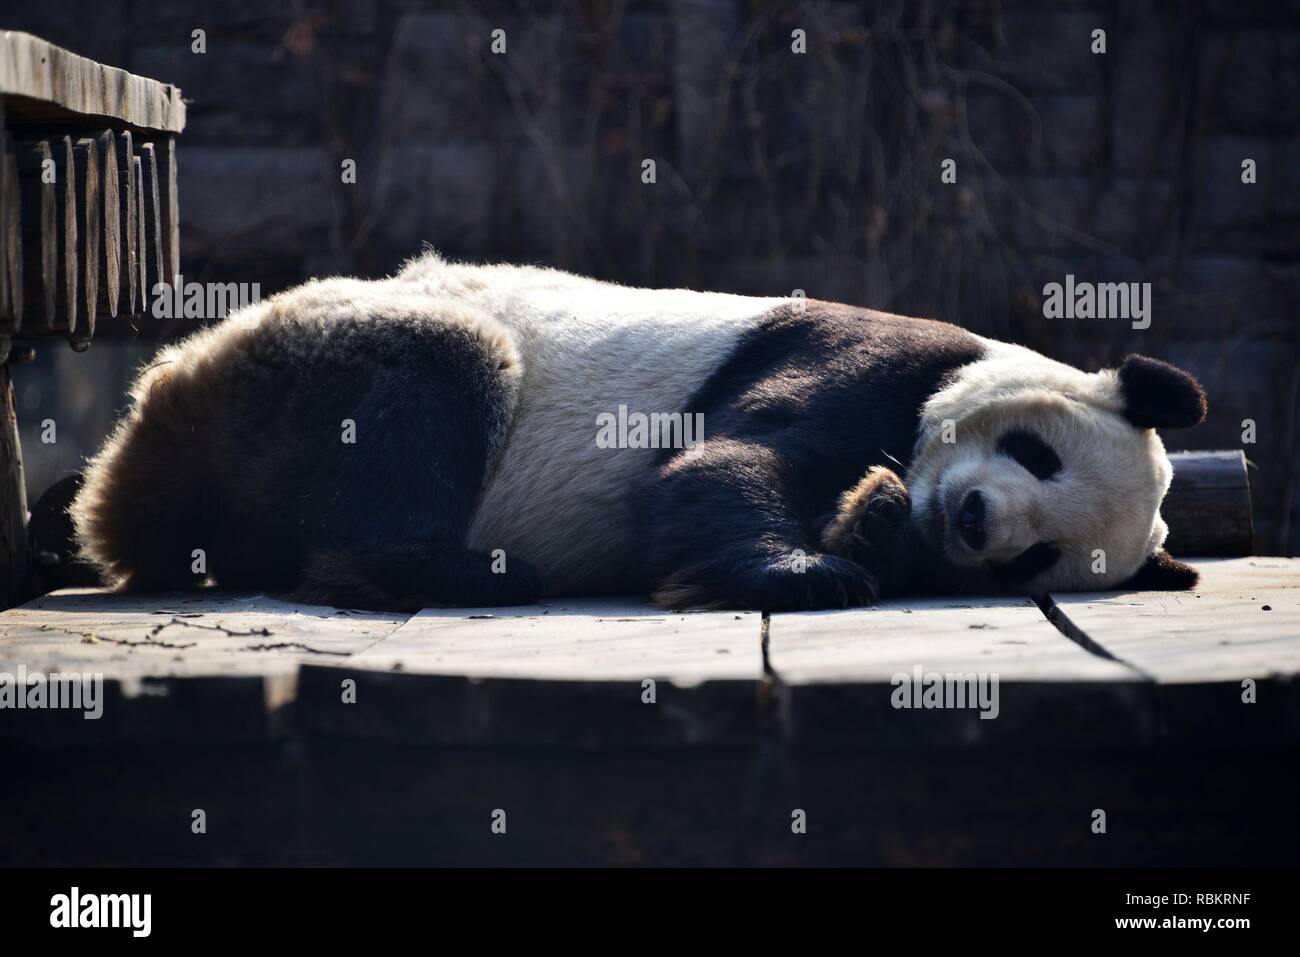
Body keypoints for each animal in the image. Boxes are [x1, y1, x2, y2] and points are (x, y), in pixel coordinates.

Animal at [71, 252, 1206, 613]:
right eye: (1035, 454)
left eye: (1039, 557)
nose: (974, 520)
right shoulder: (864, 357)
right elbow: (720, 463)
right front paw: (813, 571)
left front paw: (871, 523)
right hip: (291, 369)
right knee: (440, 373)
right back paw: (462, 569)